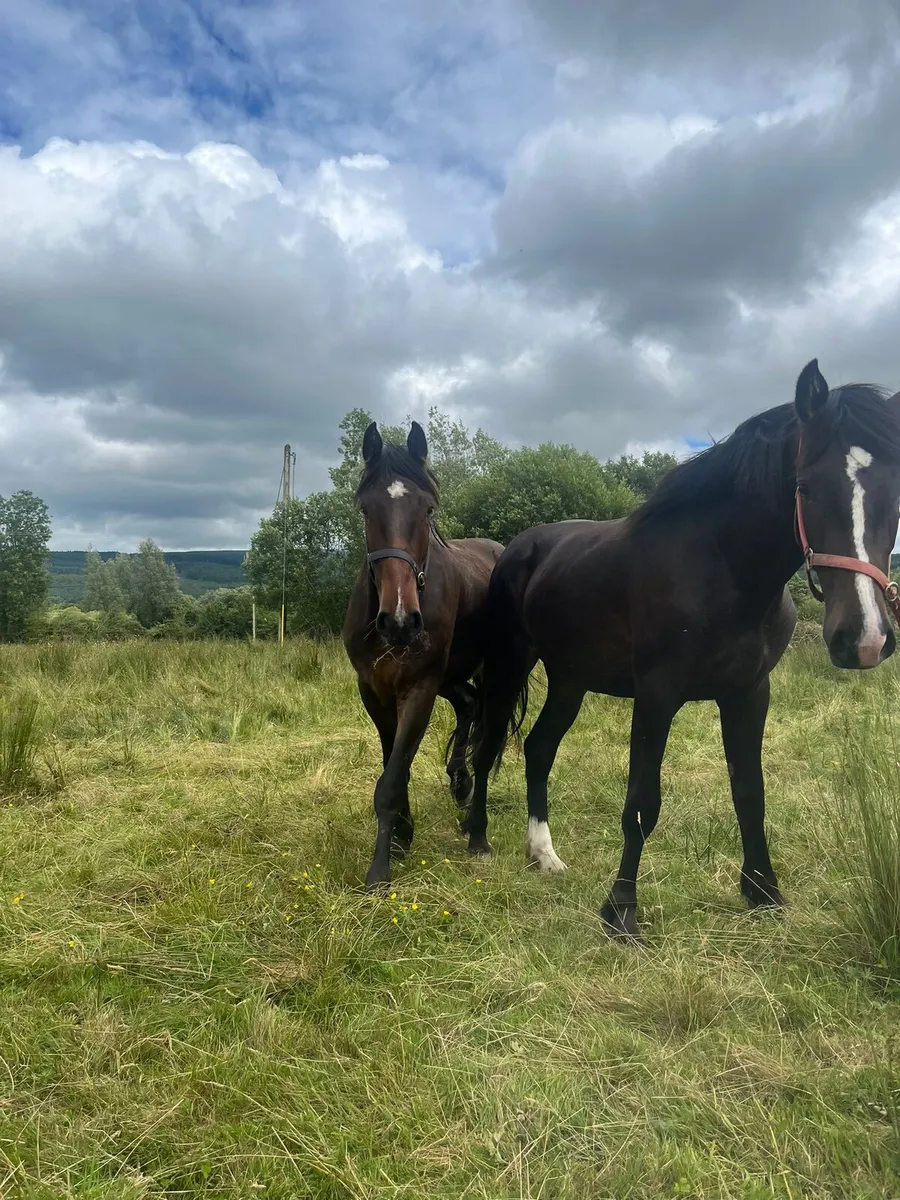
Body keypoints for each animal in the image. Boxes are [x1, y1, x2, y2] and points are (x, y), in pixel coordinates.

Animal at [342, 420, 503, 889]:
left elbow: (391, 780)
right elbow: (394, 766)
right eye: (365, 509)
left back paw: (477, 831)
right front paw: (401, 836)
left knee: (487, 744)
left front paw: (379, 871)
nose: (399, 620)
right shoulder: (375, 692)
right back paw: (459, 784)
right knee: (468, 707)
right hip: (451, 678)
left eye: (429, 509)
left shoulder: (418, 689)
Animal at [463, 359, 900, 940]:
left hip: (570, 679)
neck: (723, 571)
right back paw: (479, 840)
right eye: (805, 487)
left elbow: (750, 794)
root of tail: (518, 547)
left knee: (538, 749)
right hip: (510, 664)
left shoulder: (748, 694)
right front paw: (621, 912)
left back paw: (544, 854)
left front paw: (763, 892)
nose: (865, 639)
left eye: (896, 492)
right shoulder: (656, 695)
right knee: (488, 744)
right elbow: (641, 804)